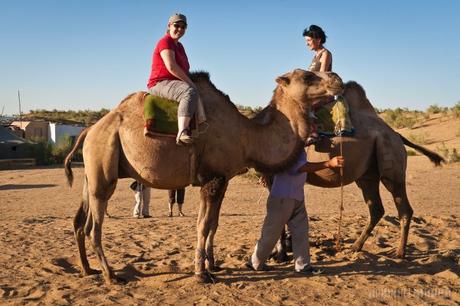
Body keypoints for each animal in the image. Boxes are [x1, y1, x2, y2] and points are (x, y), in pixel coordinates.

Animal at [63, 69, 342, 284]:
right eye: (307, 76)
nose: (337, 78)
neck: (247, 136)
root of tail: (89, 129)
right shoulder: (211, 179)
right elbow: (203, 225)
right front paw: (201, 274)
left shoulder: (222, 180)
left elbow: (214, 225)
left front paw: (213, 265)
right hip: (103, 167)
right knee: (92, 227)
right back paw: (111, 276)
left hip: (92, 172)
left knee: (79, 221)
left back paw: (88, 270)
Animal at [272, 80, 444, 262]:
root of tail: (397, 134)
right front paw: (281, 251)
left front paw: (280, 254)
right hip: (368, 174)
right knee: (376, 207)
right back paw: (355, 247)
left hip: (391, 155)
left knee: (401, 203)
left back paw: (399, 253)